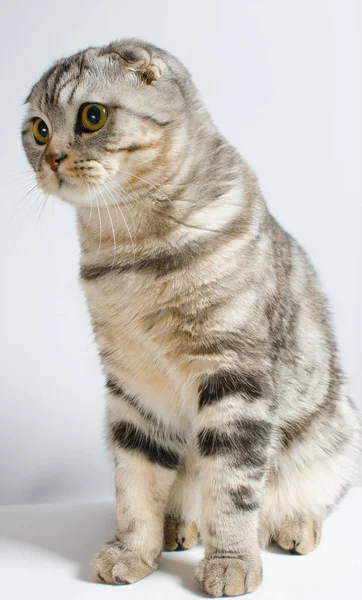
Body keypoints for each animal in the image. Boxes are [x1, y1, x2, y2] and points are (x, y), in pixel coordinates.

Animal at [23, 39, 362, 596]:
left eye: (92, 117)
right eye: (39, 129)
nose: (51, 158)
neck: (130, 252)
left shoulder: (234, 377)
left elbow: (232, 487)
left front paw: (230, 563)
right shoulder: (133, 388)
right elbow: (135, 482)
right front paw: (132, 551)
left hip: (336, 437)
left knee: (297, 499)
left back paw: (294, 526)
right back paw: (177, 527)